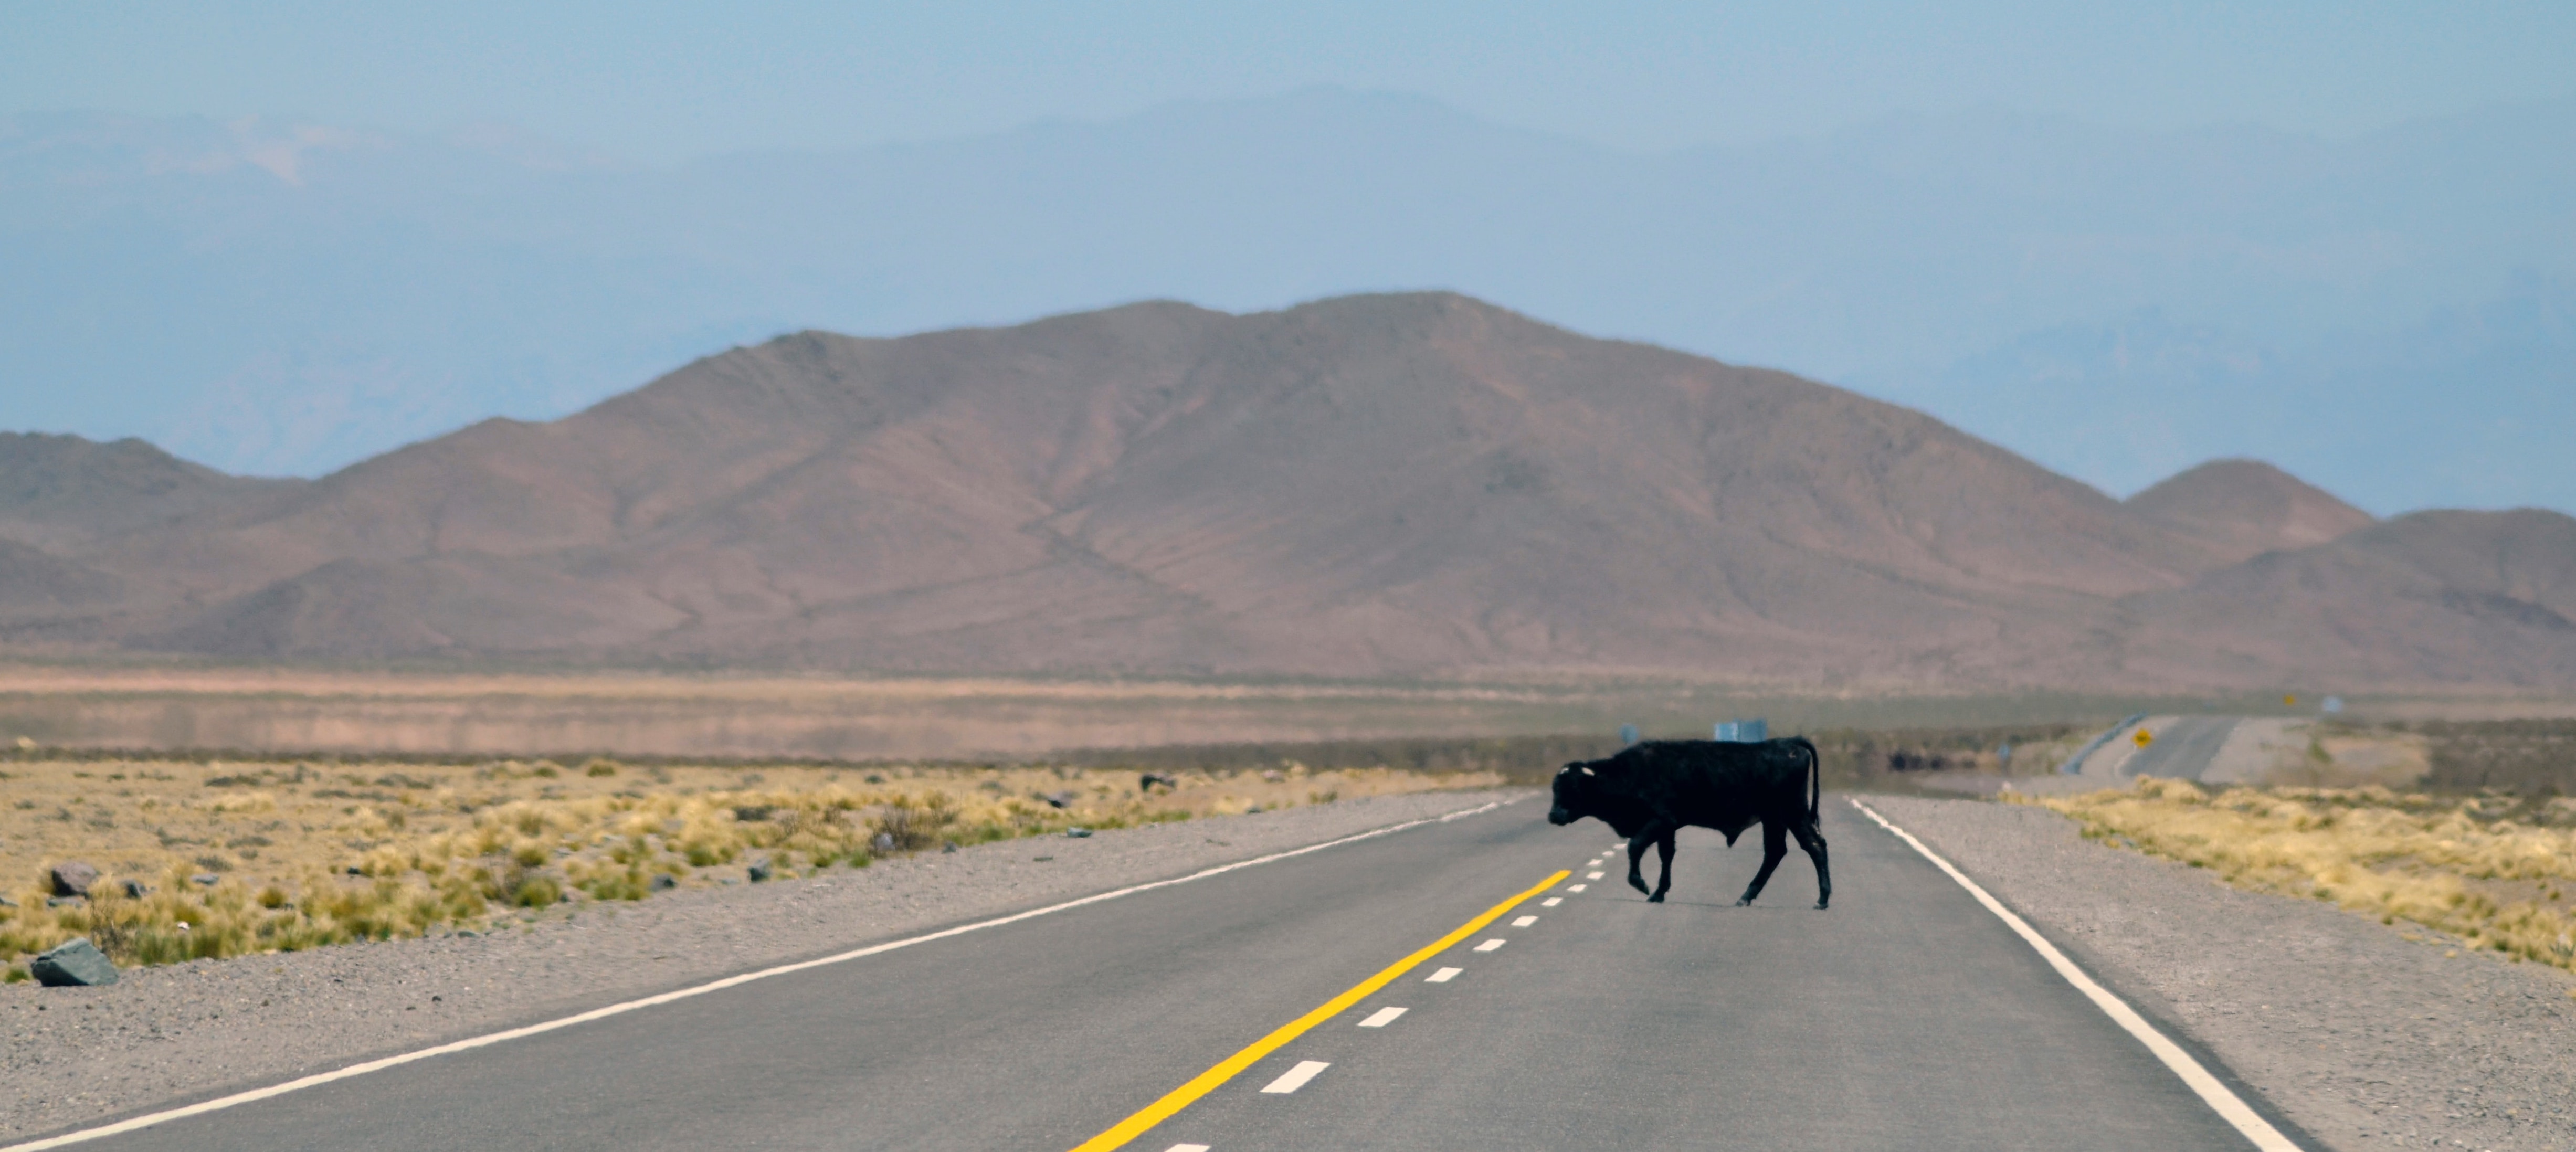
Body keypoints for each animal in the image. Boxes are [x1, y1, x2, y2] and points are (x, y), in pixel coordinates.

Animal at [1547, 737, 1829, 909]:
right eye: (1555, 787)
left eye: (1573, 788)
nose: (1553, 816)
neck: (1631, 772)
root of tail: (1789, 743)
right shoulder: (1668, 828)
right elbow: (1666, 856)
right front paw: (1659, 892)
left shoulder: (1660, 821)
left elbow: (1635, 847)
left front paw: (1642, 885)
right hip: (1780, 818)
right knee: (1785, 851)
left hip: (1788, 814)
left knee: (1806, 847)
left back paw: (1820, 898)